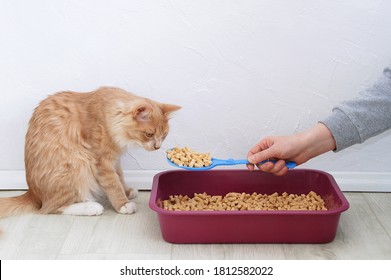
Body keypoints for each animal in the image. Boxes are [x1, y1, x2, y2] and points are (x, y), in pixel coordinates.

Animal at [0, 86, 181, 220]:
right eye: (149, 134)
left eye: (164, 135)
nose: (157, 147)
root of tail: (32, 193)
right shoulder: (101, 160)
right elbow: (113, 184)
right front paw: (123, 204)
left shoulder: (115, 160)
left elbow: (120, 177)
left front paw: (127, 192)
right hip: (76, 164)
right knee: (52, 208)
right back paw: (91, 207)